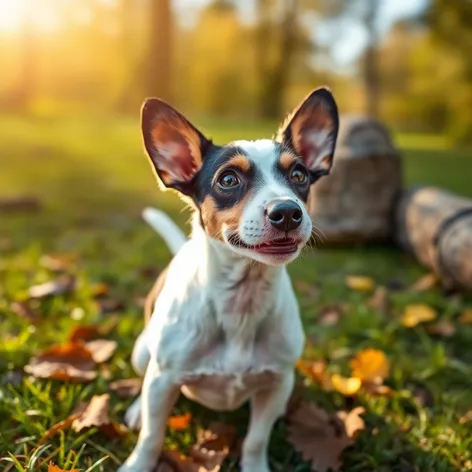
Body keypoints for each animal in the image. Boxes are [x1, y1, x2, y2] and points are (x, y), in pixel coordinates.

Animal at [120, 87, 338, 472]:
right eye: (228, 179)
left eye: (299, 175)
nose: (287, 212)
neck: (242, 302)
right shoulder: (163, 381)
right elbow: (152, 435)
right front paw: (138, 464)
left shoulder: (277, 383)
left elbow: (255, 440)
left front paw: (255, 466)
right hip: (145, 355)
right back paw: (136, 410)